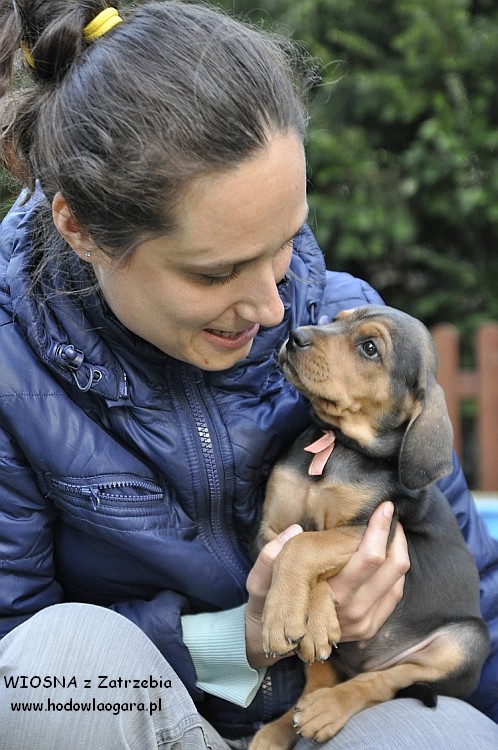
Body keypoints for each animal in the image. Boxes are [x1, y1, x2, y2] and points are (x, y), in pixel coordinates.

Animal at [251, 306, 488, 750]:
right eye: (335, 319)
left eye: (370, 348)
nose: (294, 336)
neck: (338, 446)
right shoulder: (271, 530)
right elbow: (299, 545)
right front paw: (308, 618)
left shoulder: (375, 529)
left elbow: (307, 546)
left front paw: (297, 618)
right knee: (319, 675)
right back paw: (280, 727)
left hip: (463, 643)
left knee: (383, 682)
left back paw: (328, 709)